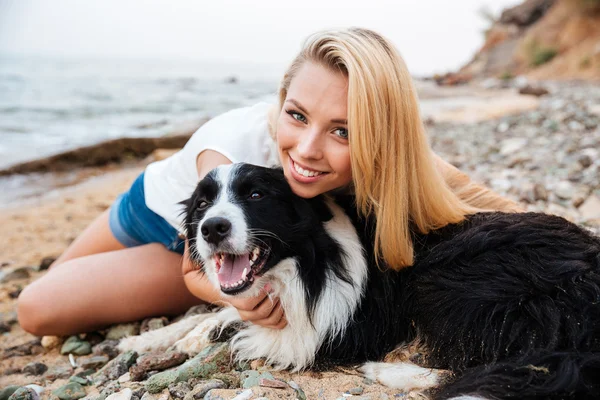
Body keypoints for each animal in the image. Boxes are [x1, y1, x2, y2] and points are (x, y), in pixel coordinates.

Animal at [120, 163, 600, 400]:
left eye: (256, 195)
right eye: (202, 204)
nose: (212, 229)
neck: (308, 260)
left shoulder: (321, 331)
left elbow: (252, 334)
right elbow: (211, 312)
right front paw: (150, 340)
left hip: (454, 279)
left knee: (487, 365)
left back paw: (387, 370)